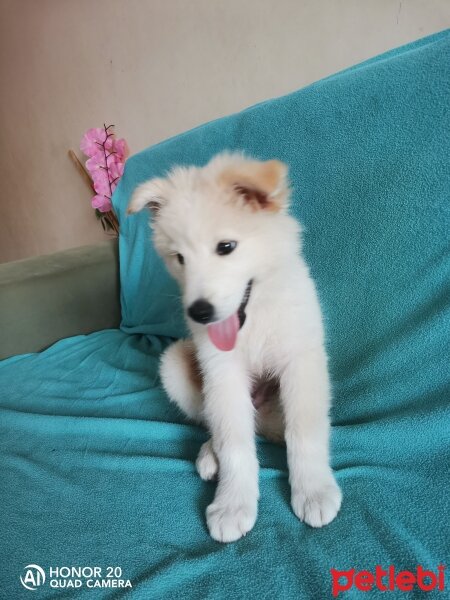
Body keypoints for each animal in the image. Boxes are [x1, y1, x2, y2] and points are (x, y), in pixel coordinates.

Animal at [126, 152, 342, 540]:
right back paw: (209, 455)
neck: (252, 320)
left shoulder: (301, 360)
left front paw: (314, 491)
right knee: (219, 425)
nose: (199, 313)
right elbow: (234, 445)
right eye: (180, 258)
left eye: (225, 247)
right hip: (175, 364)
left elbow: (304, 432)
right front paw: (232, 505)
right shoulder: (221, 372)